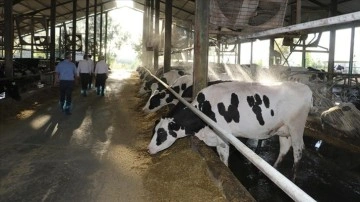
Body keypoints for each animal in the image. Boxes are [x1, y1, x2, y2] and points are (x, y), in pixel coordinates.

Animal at [148, 80, 314, 178]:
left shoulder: (222, 135)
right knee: (285, 148)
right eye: (154, 130)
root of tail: (305, 87)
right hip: (283, 129)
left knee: (298, 151)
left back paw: (293, 178)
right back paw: (273, 170)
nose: (148, 149)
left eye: (161, 133)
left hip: (296, 127)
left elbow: (224, 157)